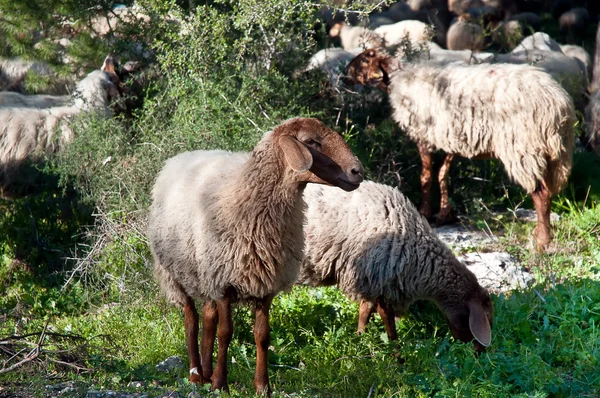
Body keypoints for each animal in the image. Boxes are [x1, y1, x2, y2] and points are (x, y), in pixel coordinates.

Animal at [149, 116, 366, 394]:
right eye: (310, 141)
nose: (358, 171)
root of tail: (181, 156)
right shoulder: (224, 283)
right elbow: (226, 333)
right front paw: (221, 384)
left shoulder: (264, 285)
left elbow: (262, 336)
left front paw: (263, 386)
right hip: (175, 273)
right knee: (191, 318)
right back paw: (197, 373)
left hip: (205, 274)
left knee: (207, 317)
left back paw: (206, 373)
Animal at [300, 180, 492, 352]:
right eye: (487, 319)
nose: (479, 354)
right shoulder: (380, 281)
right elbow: (390, 328)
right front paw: (397, 357)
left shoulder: (371, 280)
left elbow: (364, 313)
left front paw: (361, 340)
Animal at [346, 48, 576, 250]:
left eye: (365, 59)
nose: (346, 73)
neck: (400, 79)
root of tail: (559, 103)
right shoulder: (451, 138)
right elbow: (442, 174)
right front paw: (443, 214)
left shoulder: (424, 136)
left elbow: (426, 177)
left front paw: (424, 211)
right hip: (553, 153)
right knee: (547, 192)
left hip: (523, 147)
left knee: (541, 194)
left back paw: (542, 242)